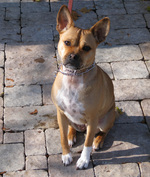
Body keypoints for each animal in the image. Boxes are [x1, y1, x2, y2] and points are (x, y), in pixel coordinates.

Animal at [51, 4, 115, 169]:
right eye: (67, 42)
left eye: (86, 48)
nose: (73, 56)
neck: (73, 77)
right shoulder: (61, 113)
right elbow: (62, 136)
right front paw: (66, 155)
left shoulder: (92, 119)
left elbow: (87, 143)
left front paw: (84, 160)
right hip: (68, 118)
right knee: (71, 127)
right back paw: (71, 135)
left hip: (105, 120)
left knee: (105, 131)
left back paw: (98, 141)